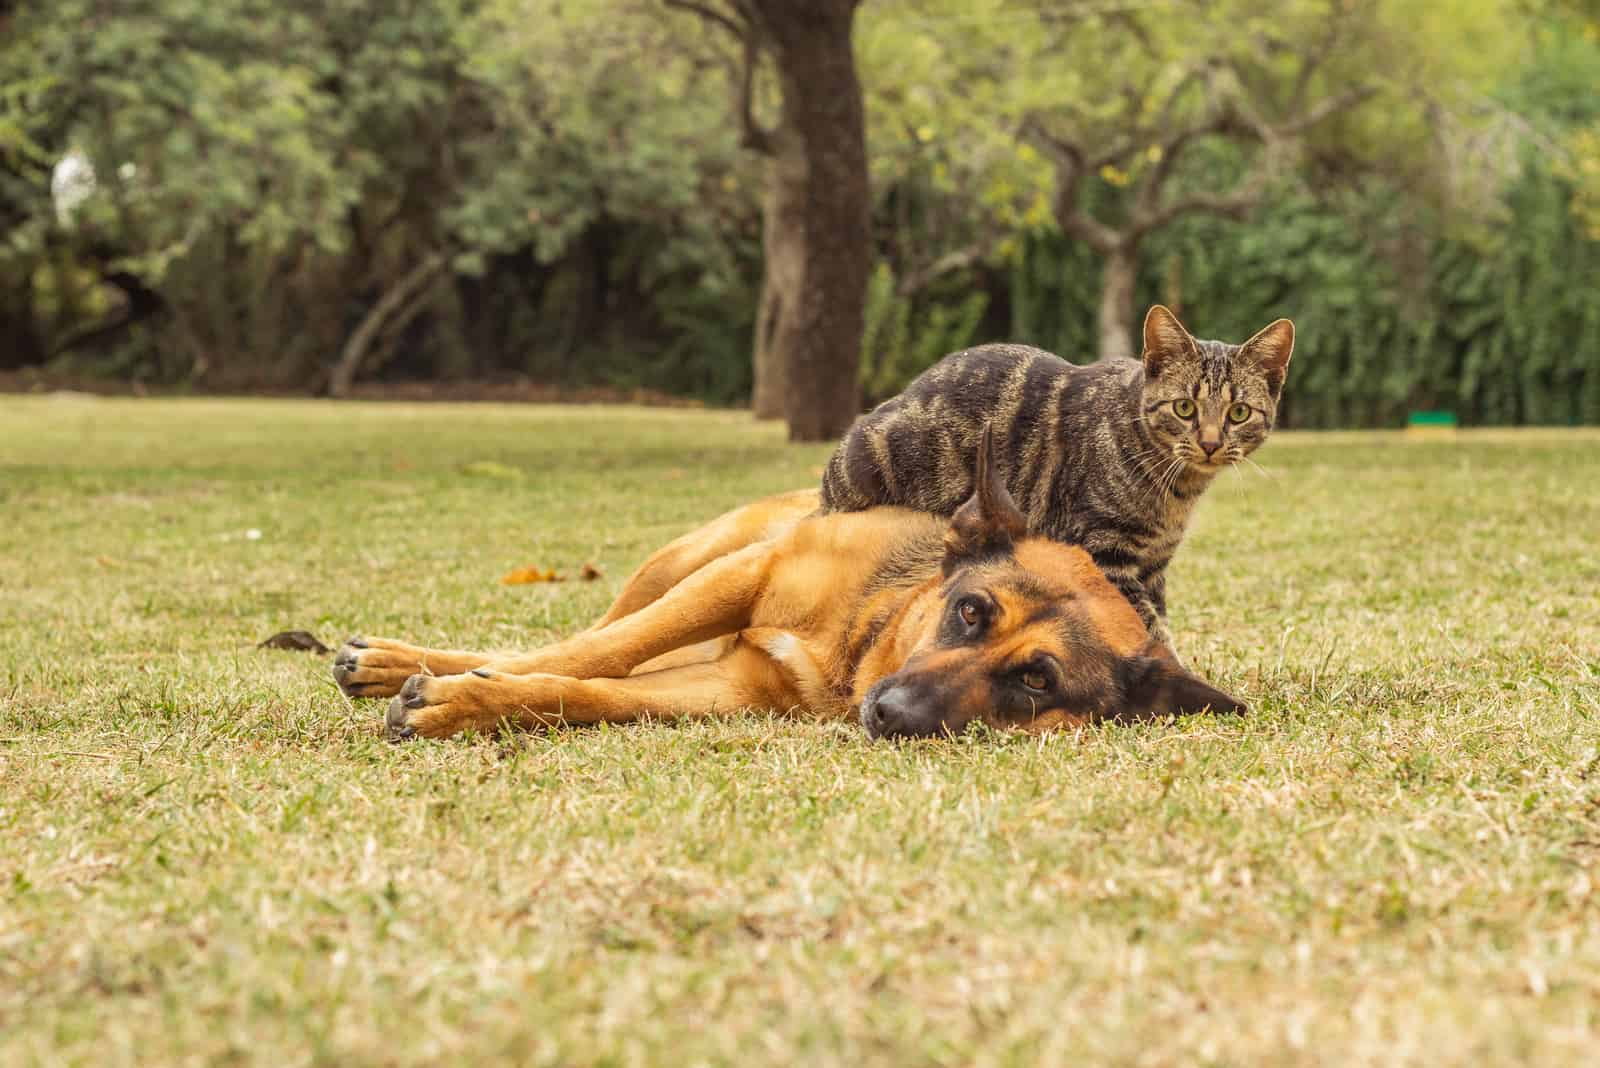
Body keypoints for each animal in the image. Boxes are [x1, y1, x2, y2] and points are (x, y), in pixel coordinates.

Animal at [331, 425, 1241, 741]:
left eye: (1037, 682)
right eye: (971, 611)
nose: (891, 714)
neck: (860, 640)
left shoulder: (731, 687)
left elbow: (588, 691)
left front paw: (466, 703)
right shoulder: (742, 578)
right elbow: (594, 654)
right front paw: (456, 688)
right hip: (688, 560)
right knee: (592, 630)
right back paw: (399, 660)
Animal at [819, 300, 1292, 652]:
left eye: (1238, 412)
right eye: (1184, 408)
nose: (1210, 442)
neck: (1175, 492)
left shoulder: (1152, 568)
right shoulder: (1104, 552)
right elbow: (1144, 628)